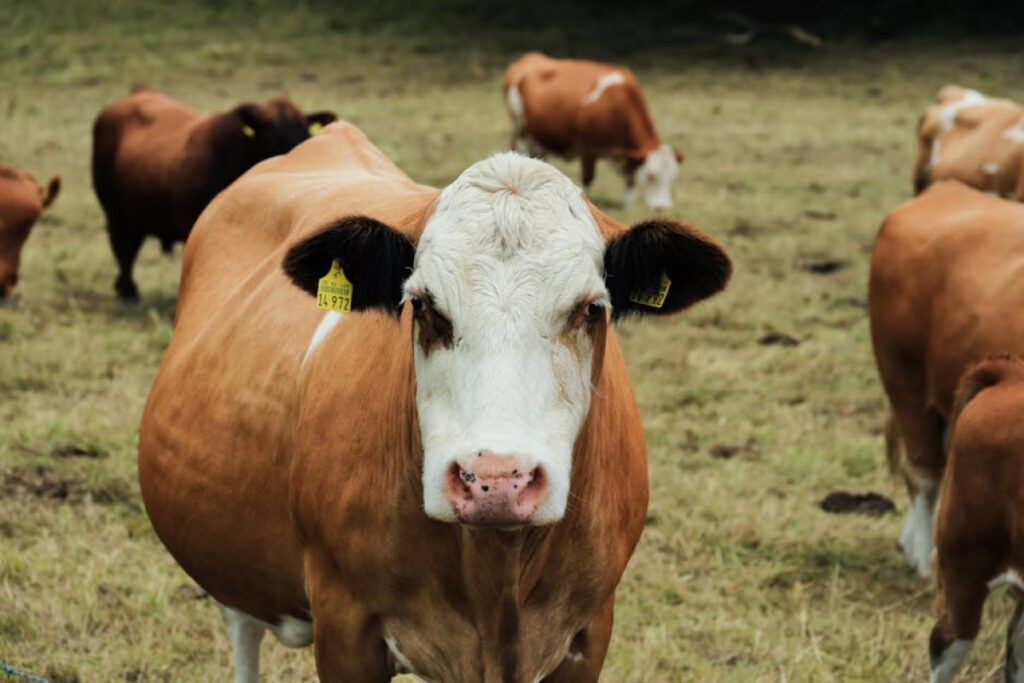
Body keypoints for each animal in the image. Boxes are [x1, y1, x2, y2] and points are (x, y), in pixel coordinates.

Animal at [138, 121, 730, 682]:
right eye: (423, 306)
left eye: (589, 308)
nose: (497, 480)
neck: (498, 582)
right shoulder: (344, 629)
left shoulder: (590, 630)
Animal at [503, 52, 684, 212]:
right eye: (651, 175)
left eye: (673, 177)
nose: (662, 208)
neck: (613, 103)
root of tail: (530, 58)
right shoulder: (588, 148)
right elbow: (587, 178)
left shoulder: (628, 155)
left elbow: (630, 178)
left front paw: (628, 208)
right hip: (518, 129)